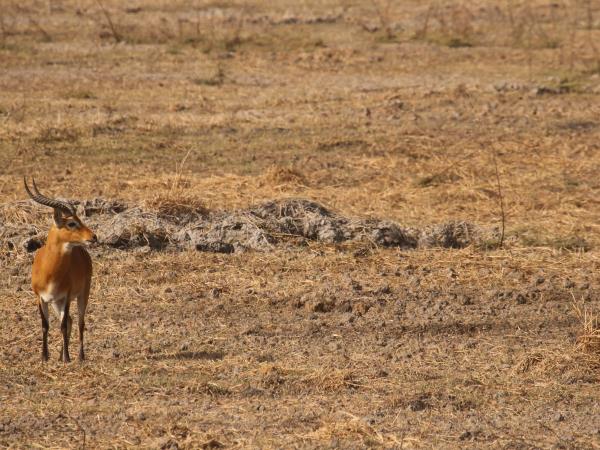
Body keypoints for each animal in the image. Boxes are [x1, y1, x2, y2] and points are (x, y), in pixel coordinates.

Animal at [24, 177, 97, 362]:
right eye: (71, 223)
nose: (93, 237)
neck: (50, 272)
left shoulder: (66, 296)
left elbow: (63, 326)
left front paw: (67, 358)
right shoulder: (40, 298)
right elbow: (45, 325)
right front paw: (44, 356)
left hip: (82, 294)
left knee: (79, 322)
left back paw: (79, 356)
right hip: (56, 302)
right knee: (70, 320)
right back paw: (59, 355)